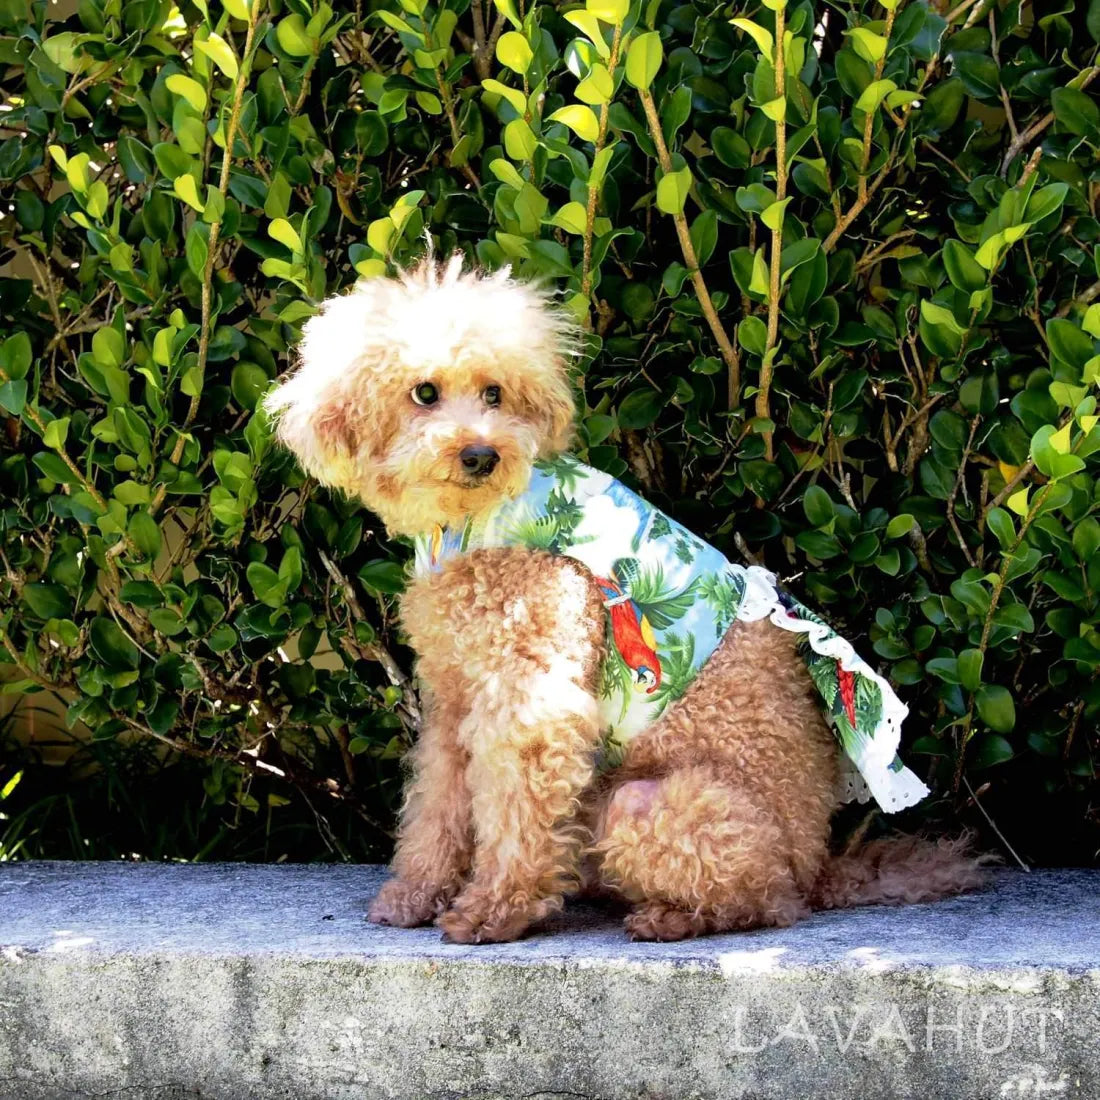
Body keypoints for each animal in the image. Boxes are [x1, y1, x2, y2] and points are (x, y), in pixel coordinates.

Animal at [261, 255, 985, 946]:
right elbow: (437, 805)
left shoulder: (532, 698)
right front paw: (416, 894)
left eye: (495, 393)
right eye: (425, 393)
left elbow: (516, 813)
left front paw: (494, 912)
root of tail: (819, 863)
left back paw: (669, 919)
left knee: (768, 902)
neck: (476, 524)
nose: (481, 454)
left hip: (645, 805)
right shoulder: (455, 699)